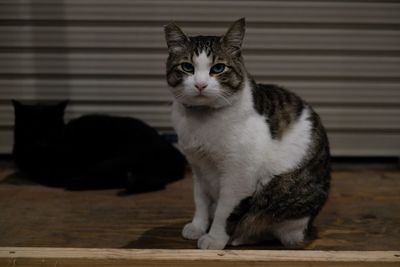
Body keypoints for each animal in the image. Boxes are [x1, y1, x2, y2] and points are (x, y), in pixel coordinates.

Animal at [163, 17, 332, 250]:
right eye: (187, 67)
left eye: (218, 68)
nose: (200, 84)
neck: (202, 121)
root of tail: (308, 226)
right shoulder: (198, 166)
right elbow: (200, 199)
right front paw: (198, 226)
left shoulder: (239, 175)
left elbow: (225, 211)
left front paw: (214, 238)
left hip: (281, 203)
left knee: (266, 227)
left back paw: (240, 236)